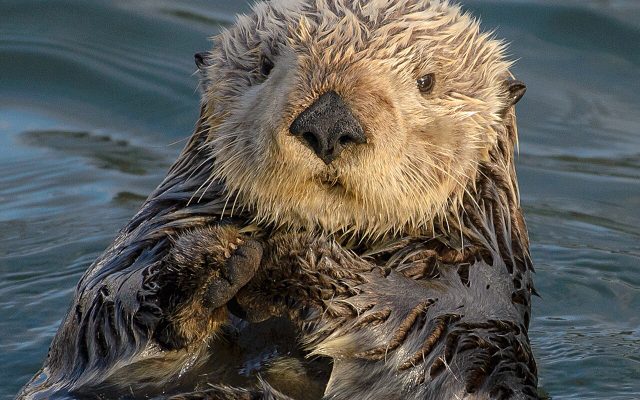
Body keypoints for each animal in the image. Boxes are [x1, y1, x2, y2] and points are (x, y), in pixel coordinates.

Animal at [18, 0, 537, 399]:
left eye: (427, 81)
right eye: (264, 66)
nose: (328, 121)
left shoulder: (475, 308)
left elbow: (422, 329)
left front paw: (289, 261)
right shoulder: (131, 260)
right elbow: (100, 312)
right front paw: (211, 260)